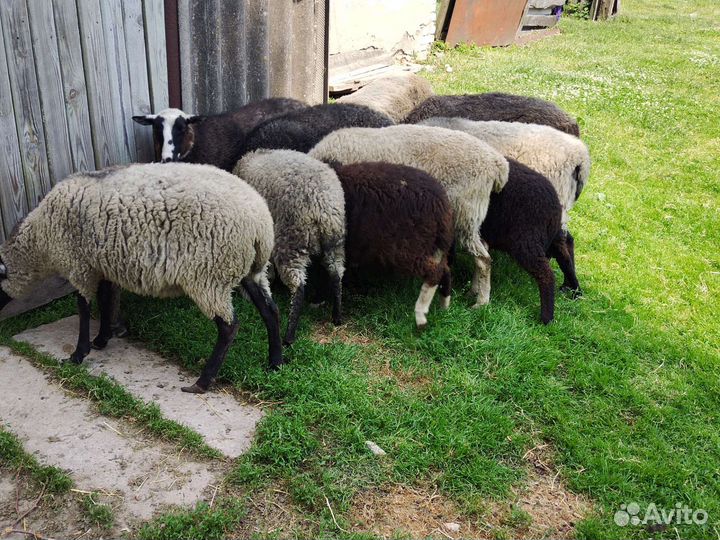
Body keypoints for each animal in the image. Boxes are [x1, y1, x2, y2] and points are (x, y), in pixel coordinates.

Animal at [0, 163, 284, 394]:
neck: (39, 240)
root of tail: (260, 225)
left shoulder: (78, 265)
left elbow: (84, 307)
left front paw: (79, 354)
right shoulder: (102, 264)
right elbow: (107, 301)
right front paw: (103, 338)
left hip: (208, 276)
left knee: (228, 327)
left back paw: (202, 382)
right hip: (249, 271)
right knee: (271, 311)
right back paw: (275, 362)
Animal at [233, 150, 346, 345]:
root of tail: (322, 204)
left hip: (291, 241)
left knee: (298, 287)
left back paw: (289, 336)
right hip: (335, 242)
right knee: (336, 274)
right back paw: (336, 317)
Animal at [309, 124, 509, 307]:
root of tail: (497, 164)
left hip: (465, 212)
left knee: (483, 259)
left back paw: (481, 302)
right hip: (471, 217)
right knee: (483, 249)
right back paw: (473, 290)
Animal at [329, 161, 454, 330]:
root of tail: (441, 204)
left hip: (405, 248)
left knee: (434, 271)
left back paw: (420, 315)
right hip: (429, 245)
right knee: (445, 268)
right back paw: (444, 306)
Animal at [480, 159, 581, 324]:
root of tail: (555, 206)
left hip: (526, 241)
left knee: (547, 274)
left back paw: (546, 319)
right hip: (549, 237)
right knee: (566, 254)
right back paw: (574, 290)